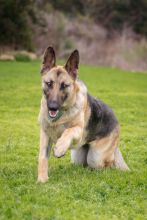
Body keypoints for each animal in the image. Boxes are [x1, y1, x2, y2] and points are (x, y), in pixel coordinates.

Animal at [37, 46, 129, 182]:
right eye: (49, 83)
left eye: (64, 86)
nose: (52, 106)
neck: (60, 117)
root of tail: (116, 119)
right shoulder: (45, 135)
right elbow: (42, 157)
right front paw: (42, 179)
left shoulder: (79, 132)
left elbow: (68, 131)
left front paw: (60, 148)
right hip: (77, 156)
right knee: (83, 163)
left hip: (96, 157)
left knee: (107, 163)